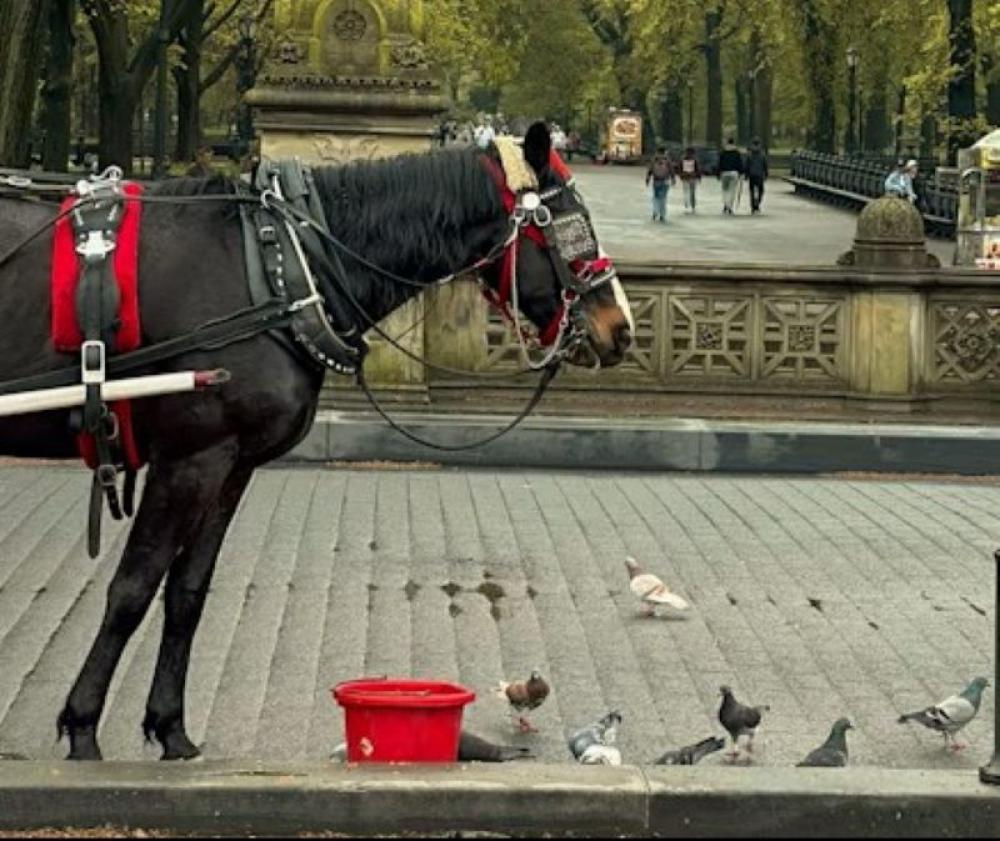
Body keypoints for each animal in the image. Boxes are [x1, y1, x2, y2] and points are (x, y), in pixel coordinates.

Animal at [0, 124, 633, 760]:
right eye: (569, 222)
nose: (620, 329)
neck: (278, 262)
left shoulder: (228, 465)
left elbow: (186, 592)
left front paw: (170, 729)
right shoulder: (188, 459)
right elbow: (133, 588)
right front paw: (83, 728)